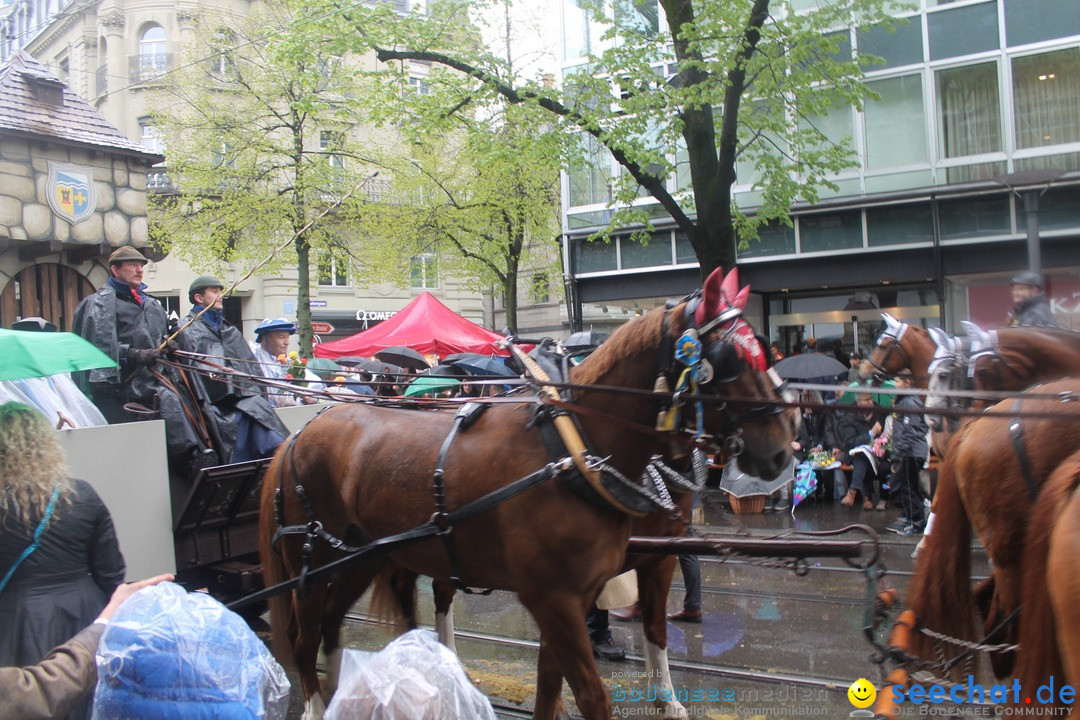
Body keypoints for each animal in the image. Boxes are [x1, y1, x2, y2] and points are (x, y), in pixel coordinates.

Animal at [254, 267, 794, 716]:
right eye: (728, 358)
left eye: (762, 350)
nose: (782, 451)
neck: (574, 451)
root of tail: (300, 434)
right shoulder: (554, 599)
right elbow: (591, 695)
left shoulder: (582, 593)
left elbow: (555, 687)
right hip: (313, 564)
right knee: (305, 638)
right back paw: (321, 703)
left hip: (363, 558)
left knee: (334, 625)